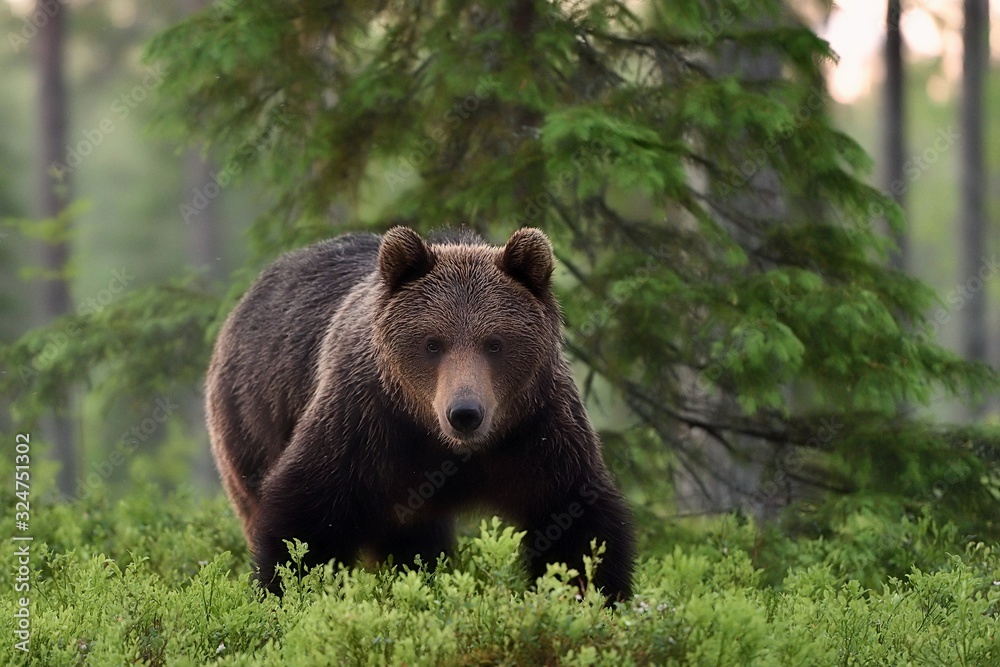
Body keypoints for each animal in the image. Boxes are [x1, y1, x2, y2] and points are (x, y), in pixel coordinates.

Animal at [207, 228, 636, 600]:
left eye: (495, 343)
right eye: (432, 343)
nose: (465, 413)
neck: (445, 445)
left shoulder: (537, 429)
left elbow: (575, 521)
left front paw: (595, 594)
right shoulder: (365, 420)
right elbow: (307, 516)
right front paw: (287, 591)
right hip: (249, 420)